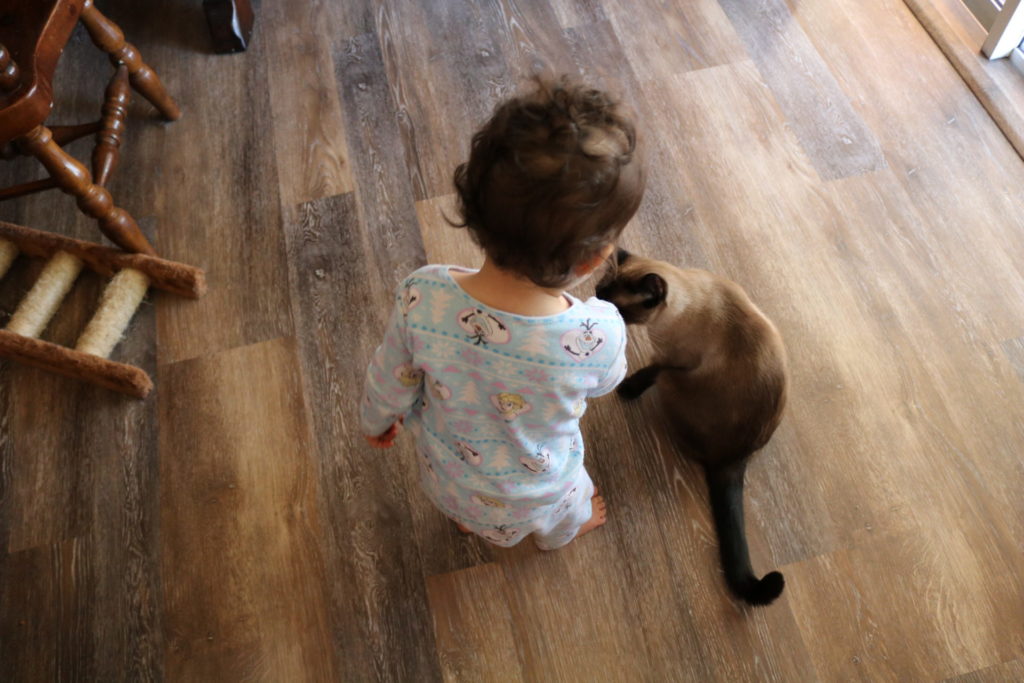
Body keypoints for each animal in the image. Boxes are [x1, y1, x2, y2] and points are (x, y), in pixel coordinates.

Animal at [598, 248, 786, 606]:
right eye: (600, 289)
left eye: (619, 306)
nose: (600, 305)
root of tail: (734, 457)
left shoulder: (670, 362)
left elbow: (649, 371)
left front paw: (628, 387)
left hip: (674, 382)